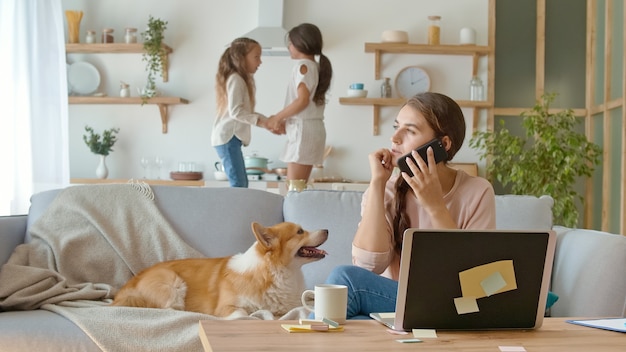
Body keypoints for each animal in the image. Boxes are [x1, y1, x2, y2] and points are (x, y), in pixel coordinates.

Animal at [111, 221, 326, 318]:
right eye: (300, 231)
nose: (327, 230)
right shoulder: (227, 307)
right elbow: (243, 314)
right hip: (172, 283)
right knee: (168, 309)